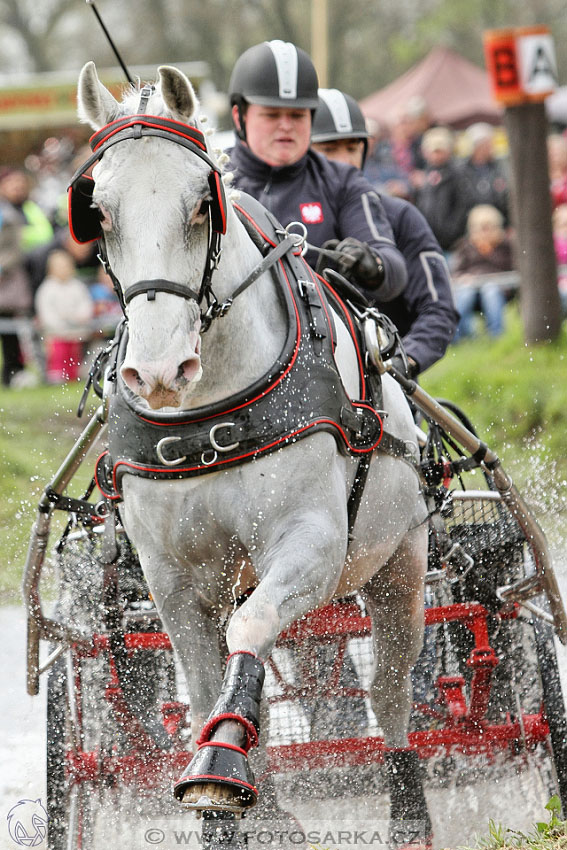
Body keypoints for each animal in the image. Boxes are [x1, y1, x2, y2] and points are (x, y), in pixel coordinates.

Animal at [75, 61, 430, 840]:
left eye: (200, 204)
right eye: (99, 212)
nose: (159, 371)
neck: (208, 415)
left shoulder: (313, 545)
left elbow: (254, 625)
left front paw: (221, 764)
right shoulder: (172, 578)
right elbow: (207, 683)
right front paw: (237, 800)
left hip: (400, 566)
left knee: (392, 692)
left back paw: (408, 811)